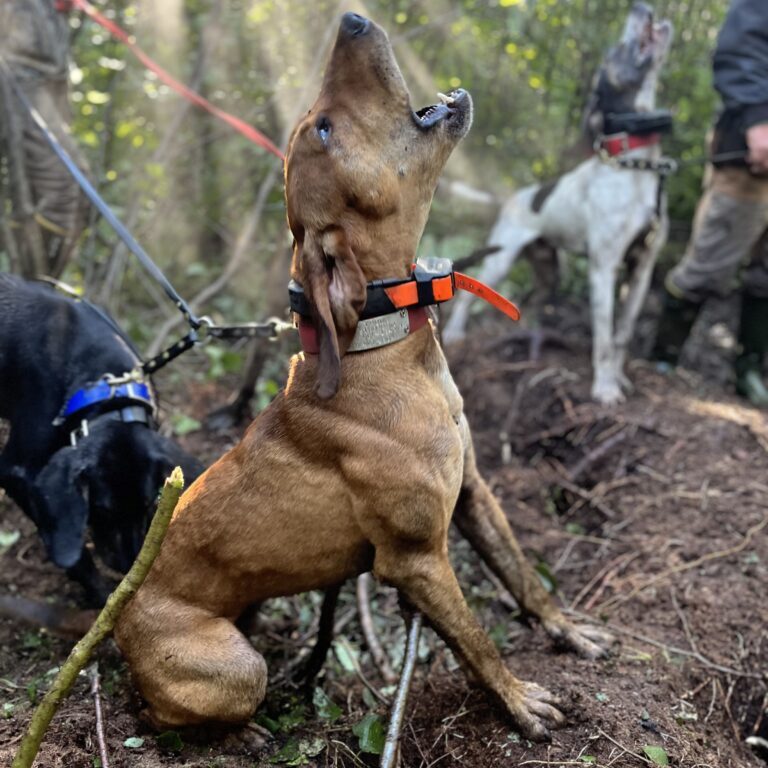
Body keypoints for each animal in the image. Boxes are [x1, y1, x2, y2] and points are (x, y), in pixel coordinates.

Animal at [0, 276, 204, 608]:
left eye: (149, 504)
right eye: (102, 510)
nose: (126, 564)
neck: (107, 388)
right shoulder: (17, 472)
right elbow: (75, 554)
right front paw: (98, 593)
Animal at [115, 13, 612, 744]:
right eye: (323, 129)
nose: (351, 19)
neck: (383, 348)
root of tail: (116, 621)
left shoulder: (473, 493)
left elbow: (523, 576)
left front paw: (566, 630)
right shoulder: (415, 559)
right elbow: (474, 639)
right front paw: (518, 700)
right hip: (237, 667)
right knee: (167, 711)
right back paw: (241, 730)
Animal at [444, 0, 672, 404]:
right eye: (616, 49)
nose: (640, 6)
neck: (635, 164)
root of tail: (512, 197)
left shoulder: (642, 271)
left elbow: (622, 335)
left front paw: (618, 378)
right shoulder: (603, 267)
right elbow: (603, 339)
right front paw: (605, 388)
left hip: (551, 267)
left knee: (533, 301)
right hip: (500, 259)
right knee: (468, 298)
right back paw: (455, 333)